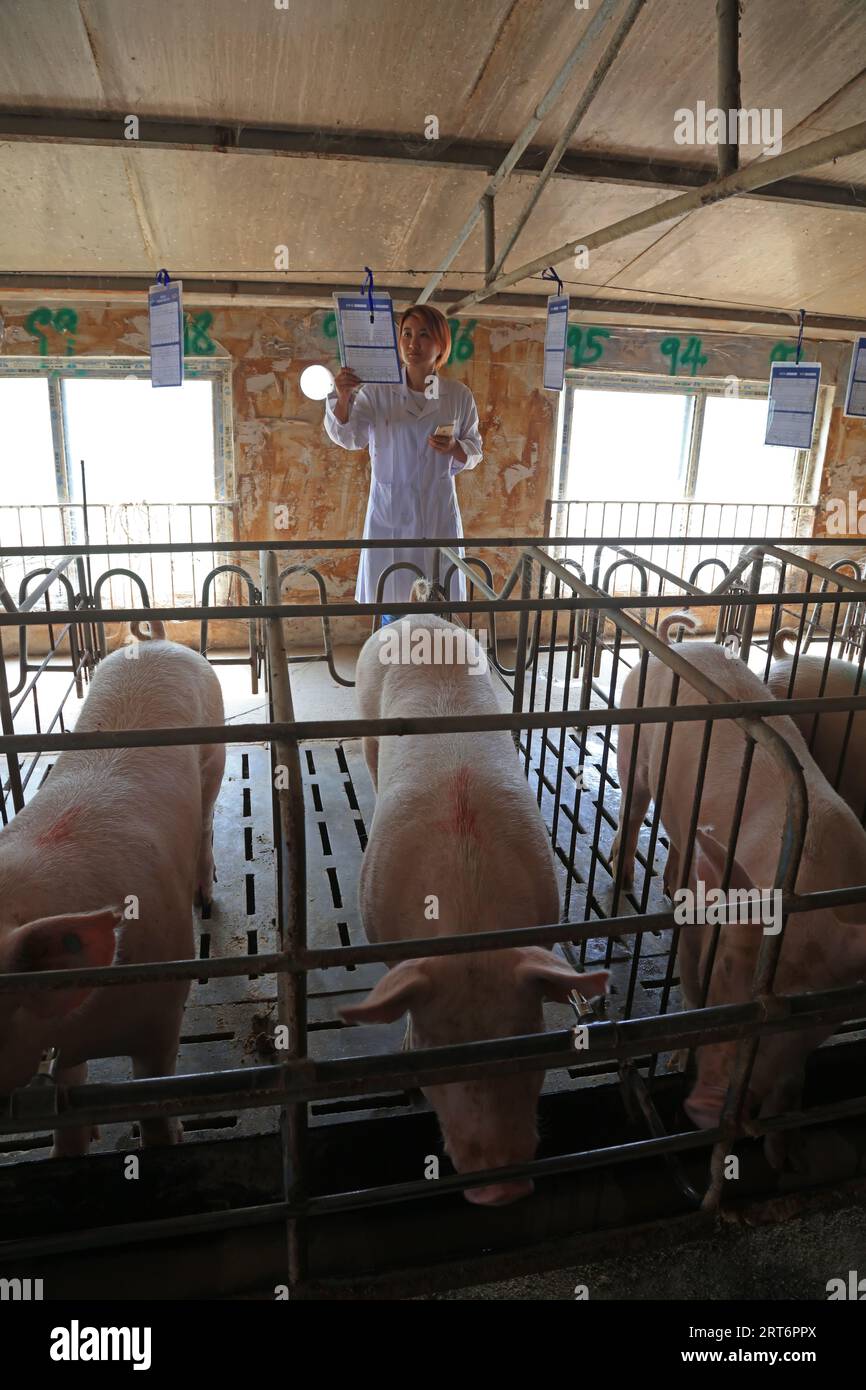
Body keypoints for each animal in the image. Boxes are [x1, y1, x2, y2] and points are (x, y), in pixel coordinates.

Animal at [0, 625, 223, 1156]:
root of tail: (159, 640)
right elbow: (68, 1120)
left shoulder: (162, 1012)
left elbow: (154, 1100)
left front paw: (169, 1140)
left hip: (215, 751)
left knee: (207, 822)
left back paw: (204, 897)